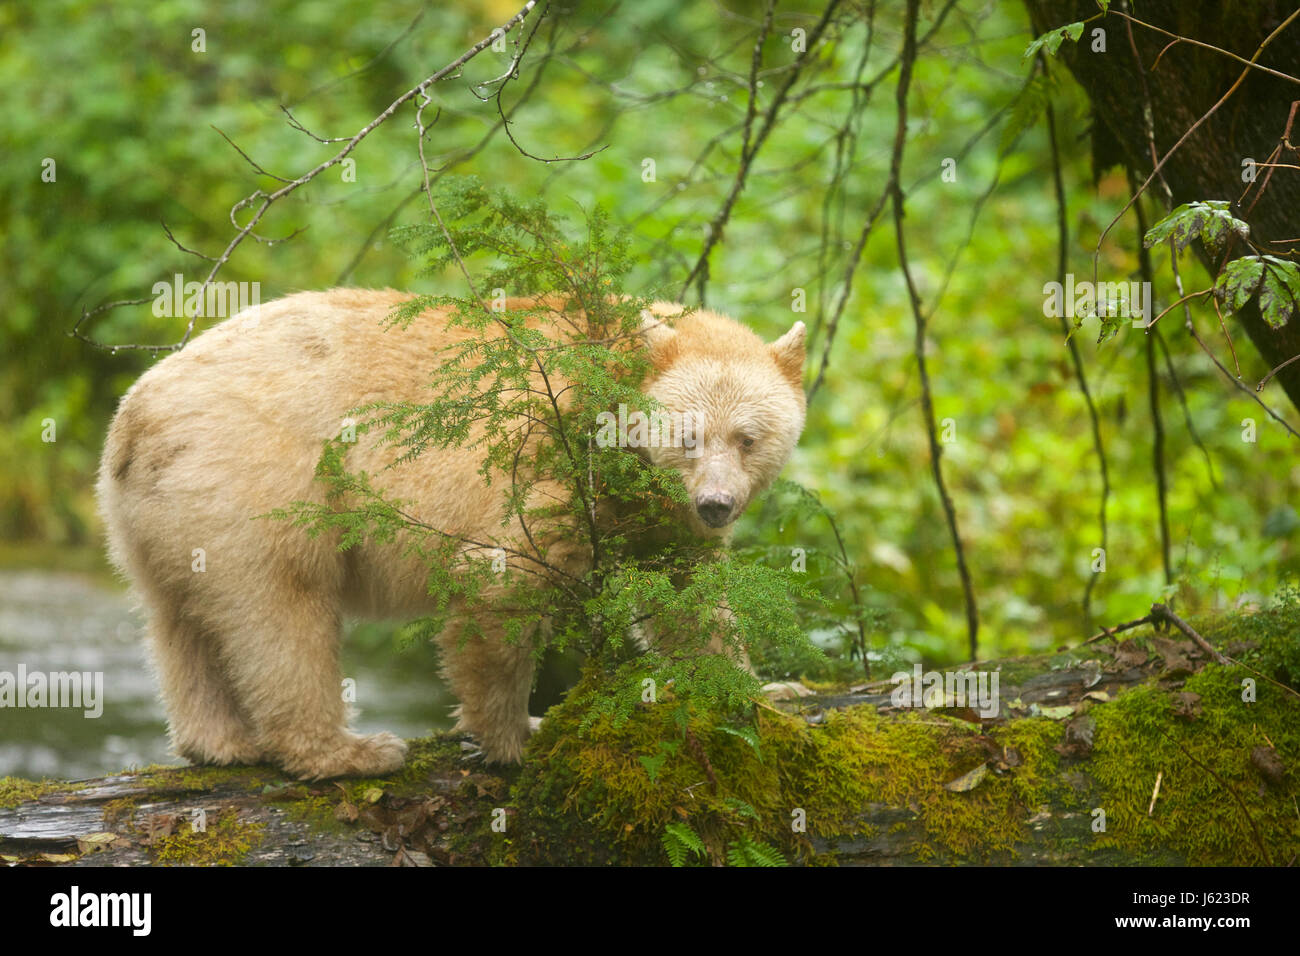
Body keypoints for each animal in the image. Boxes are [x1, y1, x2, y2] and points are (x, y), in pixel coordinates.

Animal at [98, 287, 800, 780]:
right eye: (688, 435)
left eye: (748, 438)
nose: (716, 505)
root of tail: (133, 415)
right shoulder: (550, 468)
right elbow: (502, 581)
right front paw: (515, 735)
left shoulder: (655, 515)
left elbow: (689, 598)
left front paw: (767, 688)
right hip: (260, 484)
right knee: (282, 612)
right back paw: (350, 751)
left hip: (159, 517)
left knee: (179, 620)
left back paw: (220, 742)